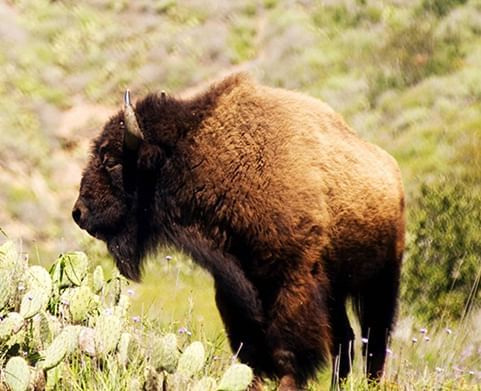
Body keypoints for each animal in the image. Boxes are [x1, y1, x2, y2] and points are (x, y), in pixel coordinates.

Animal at [73, 72, 404, 388]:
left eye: (111, 160)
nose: (79, 213)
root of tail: (391, 170)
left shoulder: (293, 280)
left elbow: (288, 351)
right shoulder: (232, 286)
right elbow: (249, 351)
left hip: (381, 280)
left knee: (374, 339)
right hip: (337, 290)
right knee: (345, 340)